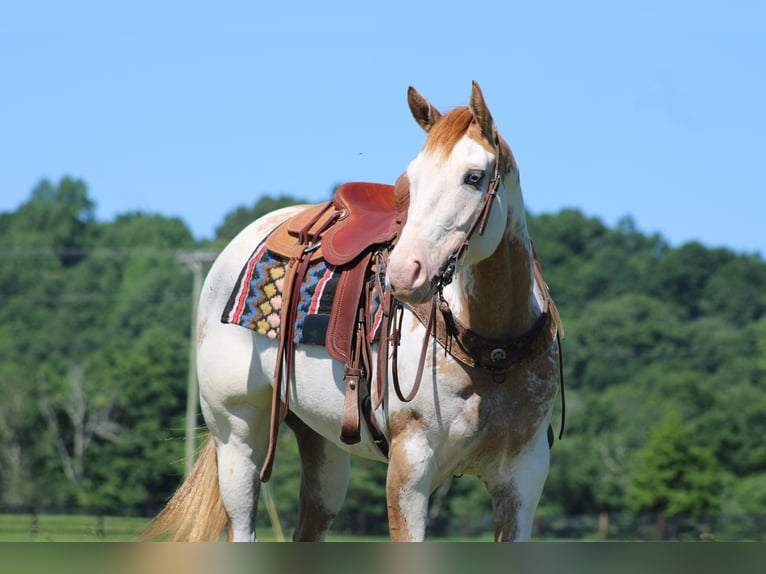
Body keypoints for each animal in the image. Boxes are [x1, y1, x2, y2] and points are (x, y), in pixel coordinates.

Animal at [145, 81, 563, 542]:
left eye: (474, 177)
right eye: (411, 181)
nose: (403, 272)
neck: (492, 350)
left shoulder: (523, 478)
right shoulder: (409, 469)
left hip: (322, 445)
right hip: (237, 439)